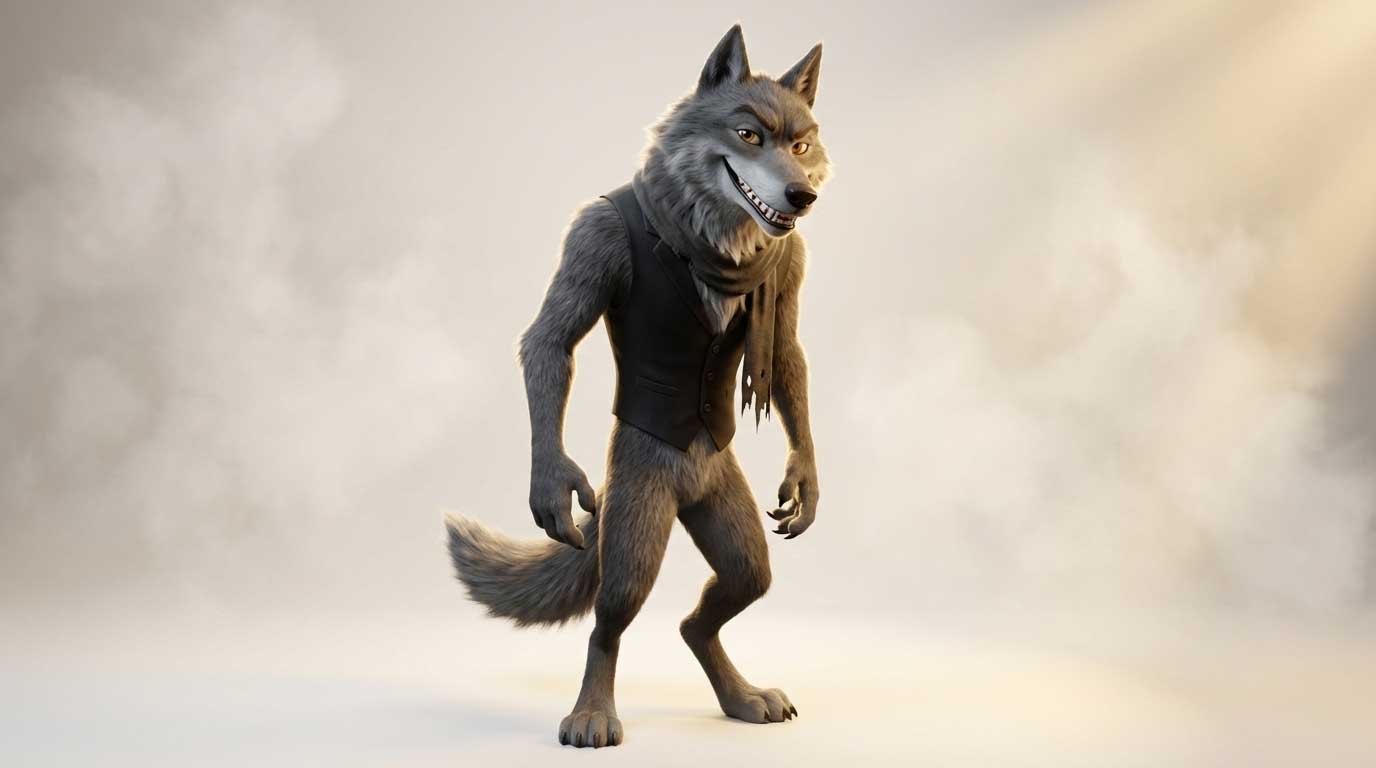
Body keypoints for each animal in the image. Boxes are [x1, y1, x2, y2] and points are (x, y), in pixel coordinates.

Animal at [444, 24, 830, 748]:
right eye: (748, 134)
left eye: (801, 145)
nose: (802, 196)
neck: (711, 236)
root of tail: (688, 489)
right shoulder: (590, 237)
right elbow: (549, 340)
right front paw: (553, 484)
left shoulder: (788, 268)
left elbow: (789, 356)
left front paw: (805, 483)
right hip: (636, 523)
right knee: (610, 621)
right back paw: (592, 714)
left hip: (728, 515)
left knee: (722, 598)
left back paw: (740, 696)